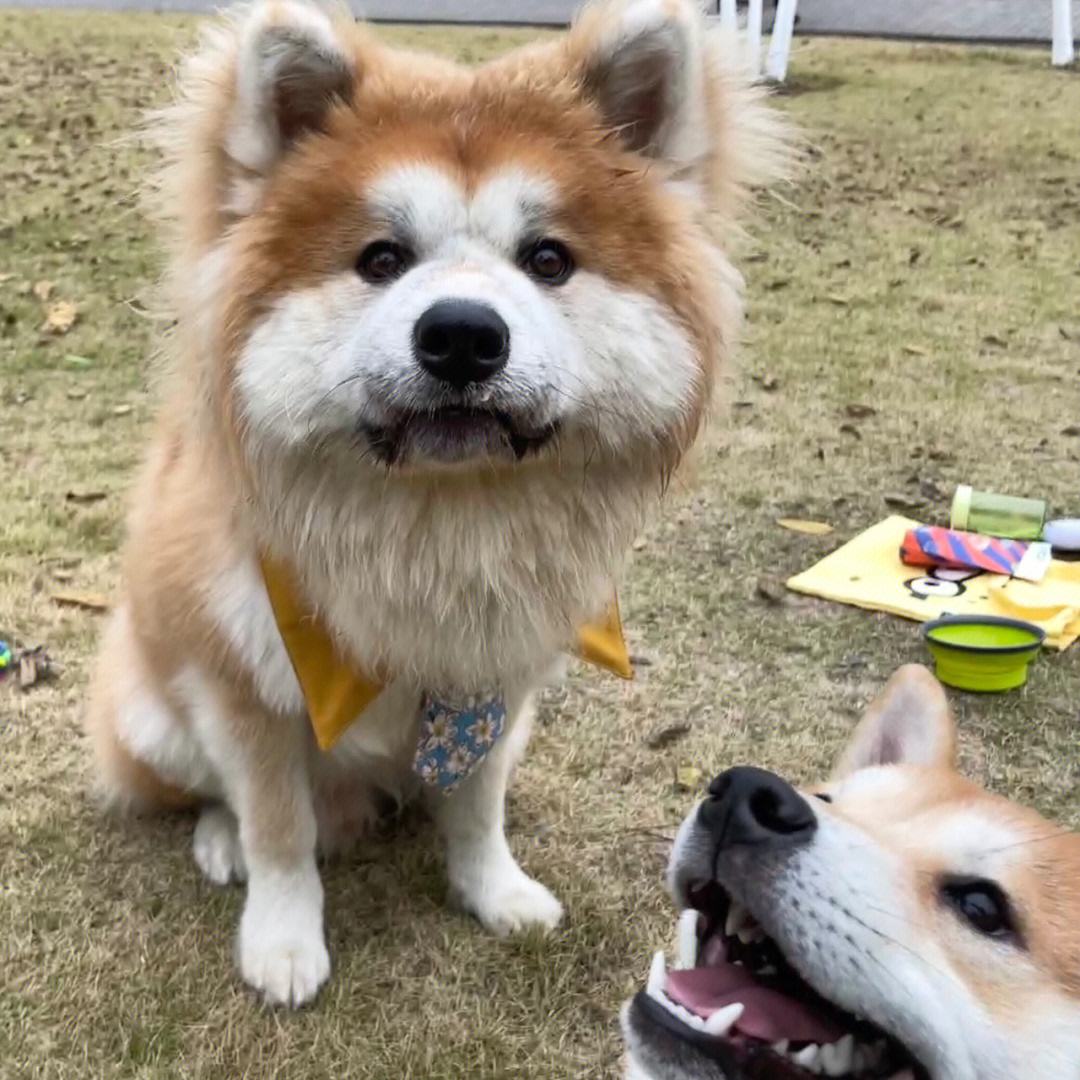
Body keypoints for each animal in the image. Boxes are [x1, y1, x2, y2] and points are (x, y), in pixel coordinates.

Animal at [82, 0, 777, 1002]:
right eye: (380, 258)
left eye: (548, 259)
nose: (460, 335)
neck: (439, 526)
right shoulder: (245, 690)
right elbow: (278, 826)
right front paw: (283, 940)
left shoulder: (495, 686)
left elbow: (477, 809)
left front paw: (494, 893)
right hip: (155, 713)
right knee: (213, 795)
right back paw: (222, 842)